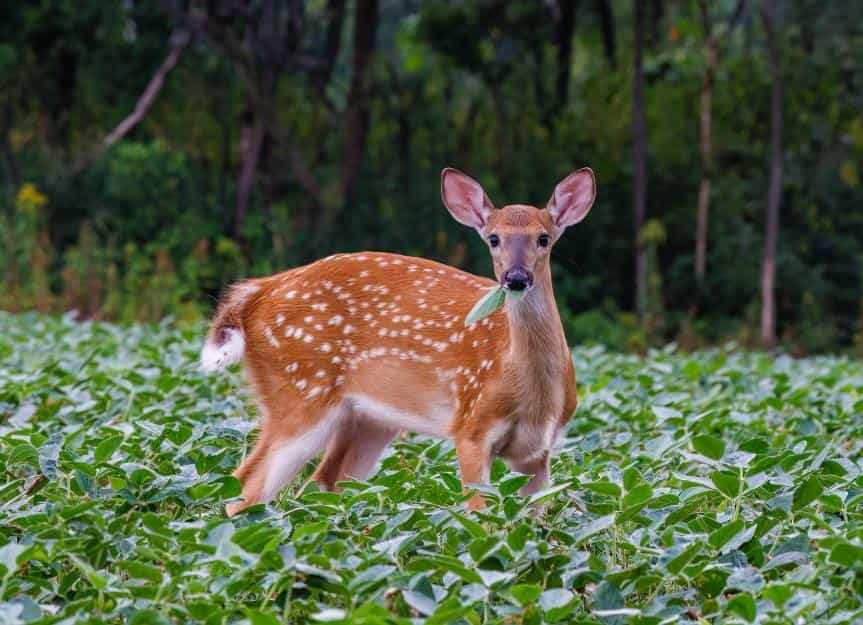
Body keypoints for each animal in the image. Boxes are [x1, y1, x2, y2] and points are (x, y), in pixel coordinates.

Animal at [201, 167, 597, 516]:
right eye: (493, 238)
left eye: (543, 238)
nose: (515, 278)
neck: (531, 392)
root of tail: (256, 293)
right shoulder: (471, 426)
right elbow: (479, 516)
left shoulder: (539, 451)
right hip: (300, 391)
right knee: (247, 487)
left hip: (368, 419)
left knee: (320, 485)